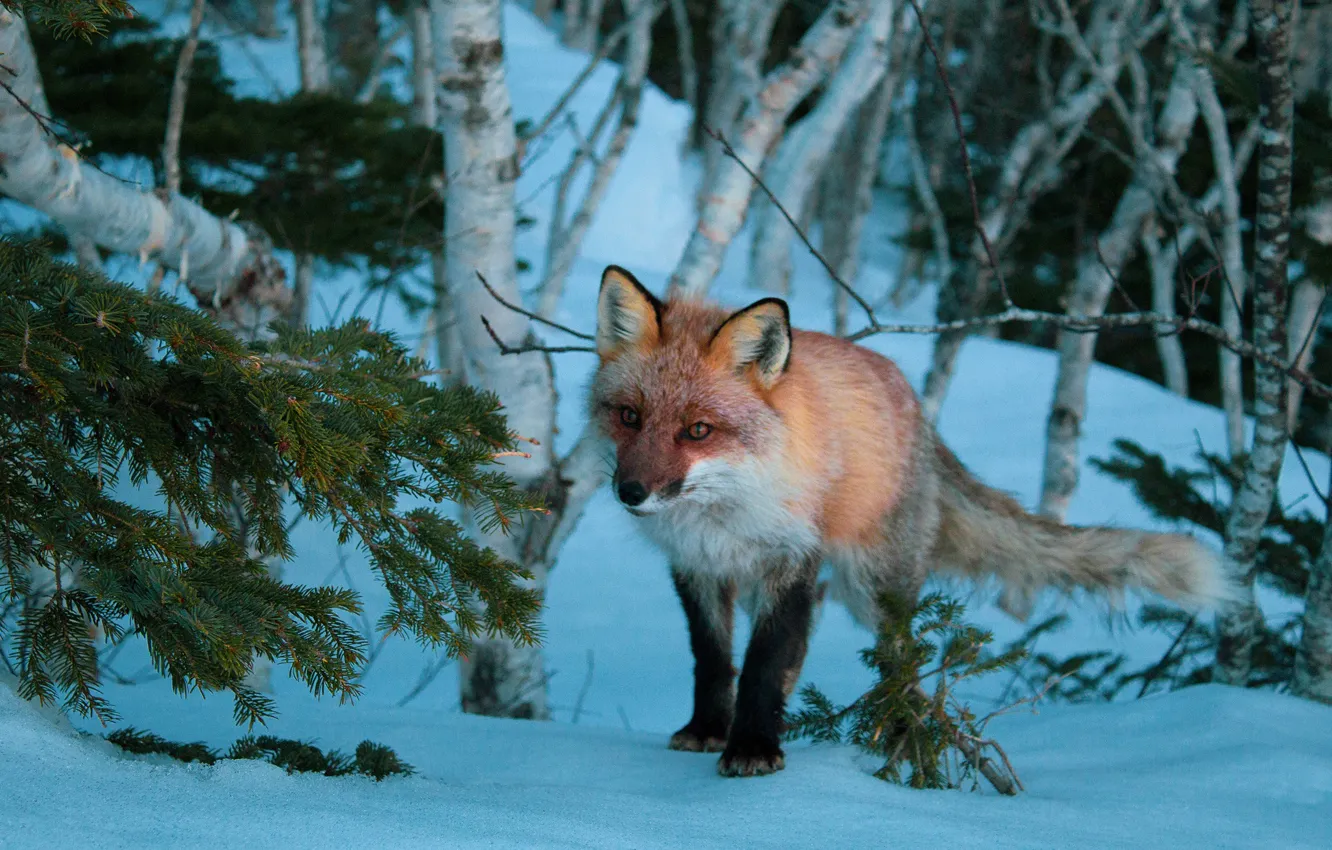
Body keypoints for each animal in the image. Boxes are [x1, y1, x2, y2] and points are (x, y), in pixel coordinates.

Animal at [588, 265, 1230, 778]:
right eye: (629, 417)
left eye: (698, 430)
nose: (631, 492)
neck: (721, 510)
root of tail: (918, 411)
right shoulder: (696, 567)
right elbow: (715, 660)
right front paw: (708, 730)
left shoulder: (790, 560)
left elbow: (764, 664)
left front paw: (751, 747)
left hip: (873, 587)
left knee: (903, 664)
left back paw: (902, 738)